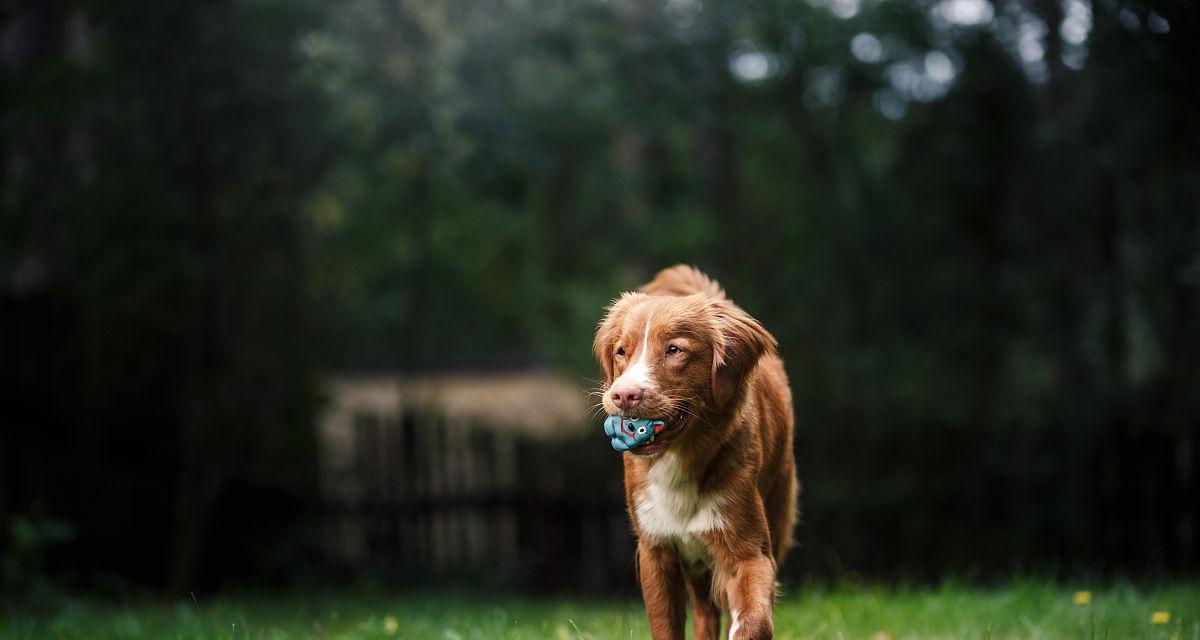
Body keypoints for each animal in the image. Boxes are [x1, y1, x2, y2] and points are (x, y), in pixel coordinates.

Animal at [592, 264, 796, 638]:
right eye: (621, 352)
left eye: (674, 350)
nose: (623, 395)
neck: (679, 457)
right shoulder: (656, 550)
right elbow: (666, 625)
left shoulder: (748, 550)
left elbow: (752, 619)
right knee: (704, 612)